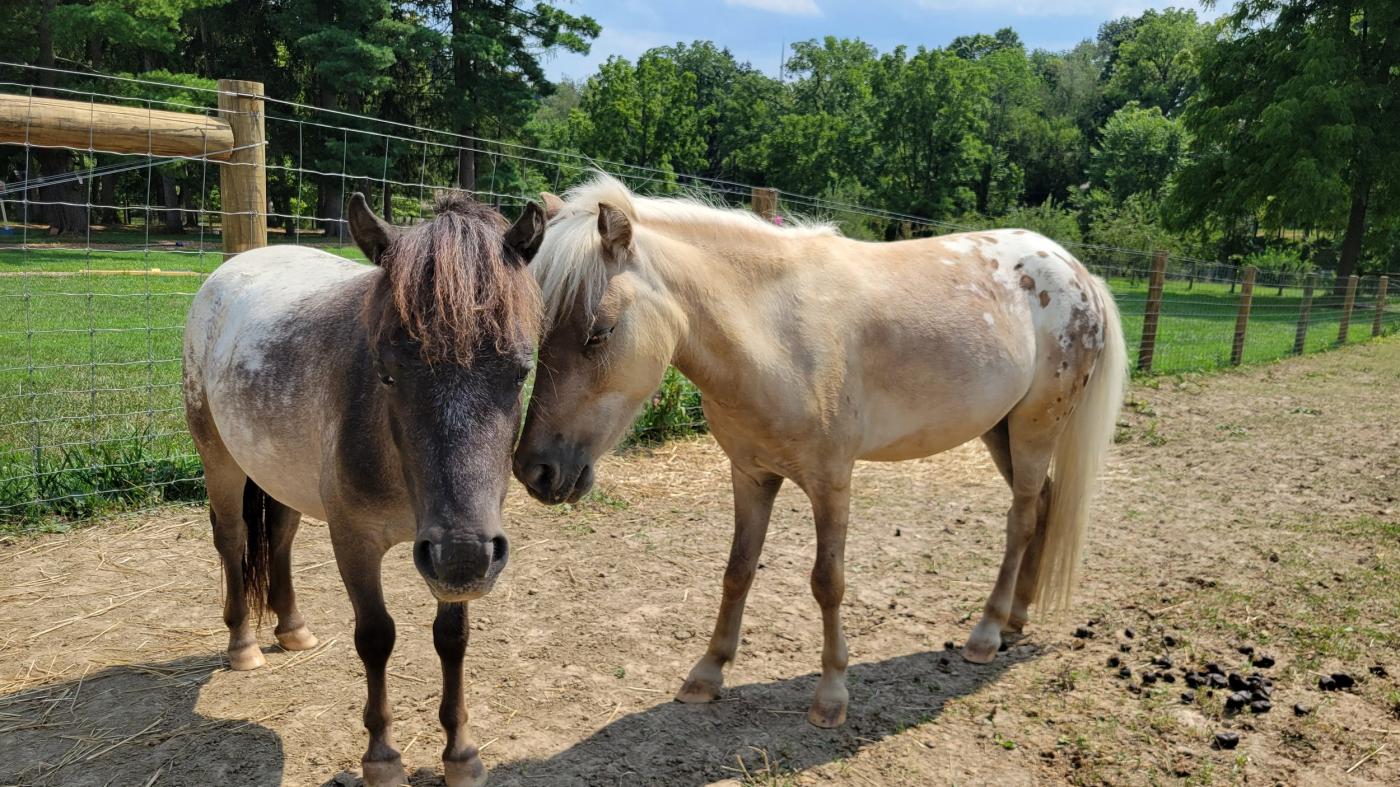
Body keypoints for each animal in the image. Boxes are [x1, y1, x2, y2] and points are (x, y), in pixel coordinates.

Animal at [182, 192, 544, 787]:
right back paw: (243, 645)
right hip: (220, 460)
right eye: (388, 372)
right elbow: (376, 637)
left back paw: (293, 629)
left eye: (519, 372)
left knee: (279, 539)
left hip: (283, 475)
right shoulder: (354, 540)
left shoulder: (456, 546)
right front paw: (383, 758)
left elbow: (453, 639)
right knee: (233, 540)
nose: (463, 558)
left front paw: (461, 754)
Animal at [513, 175, 1127, 728]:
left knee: (1021, 518)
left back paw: (986, 633)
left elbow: (827, 582)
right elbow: (737, 571)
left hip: (1034, 428)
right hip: (1001, 431)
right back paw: (1016, 620)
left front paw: (832, 695)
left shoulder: (831, 481)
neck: (777, 332)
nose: (535, 471)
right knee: (1043, 504)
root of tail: (1076, 271)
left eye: (599, 332)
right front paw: (707, 673)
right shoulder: (750, 475)